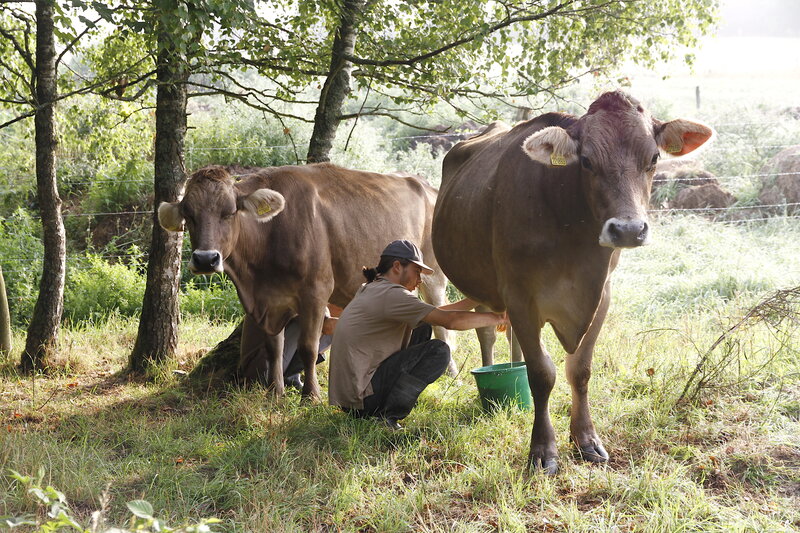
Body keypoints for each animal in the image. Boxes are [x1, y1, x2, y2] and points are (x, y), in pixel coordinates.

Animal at [158, 164, 452, 401]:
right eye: (188, 214)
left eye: (229, 212)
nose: (205, 259)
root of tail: (424, 183)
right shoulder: (268, 302)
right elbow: (274, 348)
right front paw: (275, 393)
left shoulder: (315, 291)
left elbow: (308, 348)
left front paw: (311, 396)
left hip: (432, 273)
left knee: (442, 320)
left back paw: (451, 372)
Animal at [432, 91, 713, 473]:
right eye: (587, 161)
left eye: (654, 157)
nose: (628, 230)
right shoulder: (520, 295)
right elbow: (541, 373)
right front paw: (542, 450)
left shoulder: (601, 295)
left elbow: (579, 370)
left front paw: (586, 440)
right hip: (477, 285)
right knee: (486, 332)